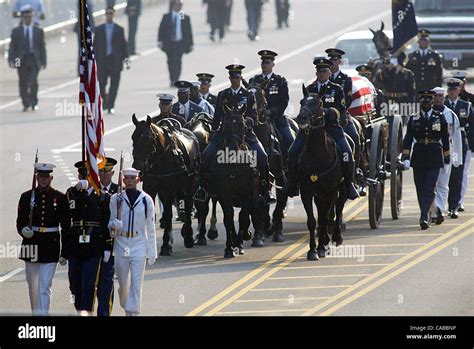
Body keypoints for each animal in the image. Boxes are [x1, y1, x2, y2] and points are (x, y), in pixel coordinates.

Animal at [131, 114, 200, 256]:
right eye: (133, 137)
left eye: (148, 138)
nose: (138, 166)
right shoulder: (151, 189)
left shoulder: (169, 191)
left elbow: (168, 214)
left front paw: (165, 245)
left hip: (191, 185)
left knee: (188, 205)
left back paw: (188, 236)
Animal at [207, 104, 260, 256]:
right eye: (225, 124)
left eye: (243, 125)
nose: (233, 148)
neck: (234, 164)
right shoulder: (223, 195)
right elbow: (228, 218)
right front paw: (229, 248)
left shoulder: (248, 194)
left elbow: (243, 216)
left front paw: (244, 237)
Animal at [246, 80, 290, 246]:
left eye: (263, 100)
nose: (250, 118)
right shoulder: (256, 178)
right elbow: (258, 205)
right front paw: (259, 235)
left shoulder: (280, 175)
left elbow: (280, 202)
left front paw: (278, 232)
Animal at [298, 87, 346, 260]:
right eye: (302, 102)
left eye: (318, 103)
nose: (301, 117)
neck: (318, 155)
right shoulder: (306, 191)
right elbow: (312, 221)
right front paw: (313, 249)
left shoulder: (332, 191)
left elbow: (325, 218)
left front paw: (320, 247)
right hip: (320, 194)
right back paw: (324, 241)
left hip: (342, 188)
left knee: (338, 208)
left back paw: (335, 237)